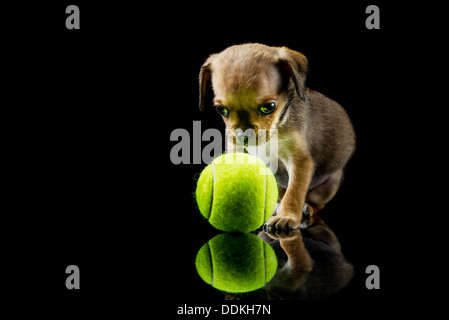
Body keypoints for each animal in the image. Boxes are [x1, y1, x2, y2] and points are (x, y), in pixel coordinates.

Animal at [198, 43, 356, 235]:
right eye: (221, 110)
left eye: (268, 107)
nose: (243, 136)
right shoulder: (237, 151)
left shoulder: (300, 162)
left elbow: (294, 191)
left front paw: (287, 216)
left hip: (328, 185)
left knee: (315, 202)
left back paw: (305, 208)